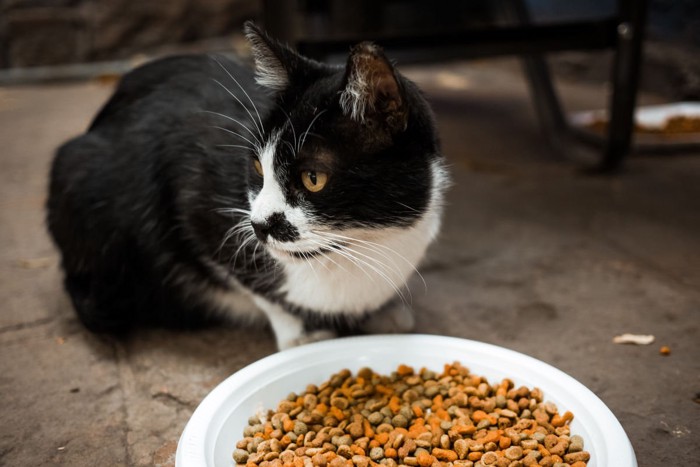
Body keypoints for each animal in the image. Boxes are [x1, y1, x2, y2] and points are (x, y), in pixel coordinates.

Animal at [46, 22, 448, 352]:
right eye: (257, 166)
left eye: (313, 178)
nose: (259, 225)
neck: (358, 246)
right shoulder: (191, 193)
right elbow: (249, 281)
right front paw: (302, 334)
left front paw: (384, 312)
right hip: (79, 176)